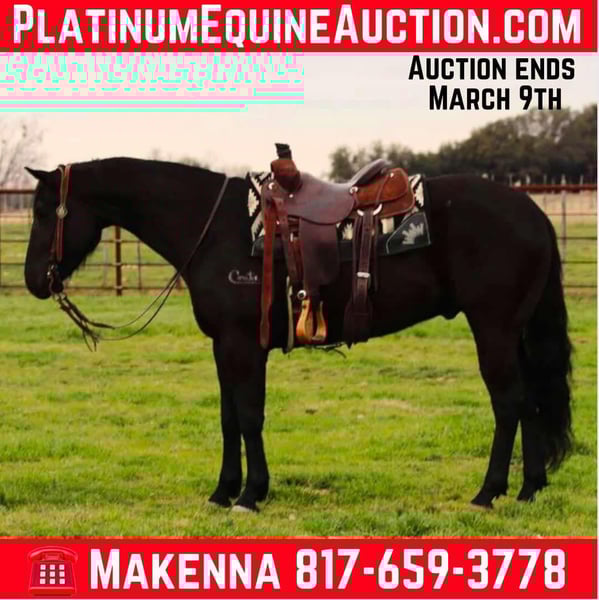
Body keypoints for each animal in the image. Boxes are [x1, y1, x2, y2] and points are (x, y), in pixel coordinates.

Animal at [23, 157, 572, 512]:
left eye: (45, 211)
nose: (33, 281)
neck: (216, 229)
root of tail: (534, 214)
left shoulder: (242, 344)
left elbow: (248, 416)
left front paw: (250, 495)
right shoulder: (226, 346)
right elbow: (229, 418)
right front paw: (224, 492)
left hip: (493, 330)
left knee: (508, 402)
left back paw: (489, 493)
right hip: (513, 333)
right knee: (529, 402)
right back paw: (529, 488)